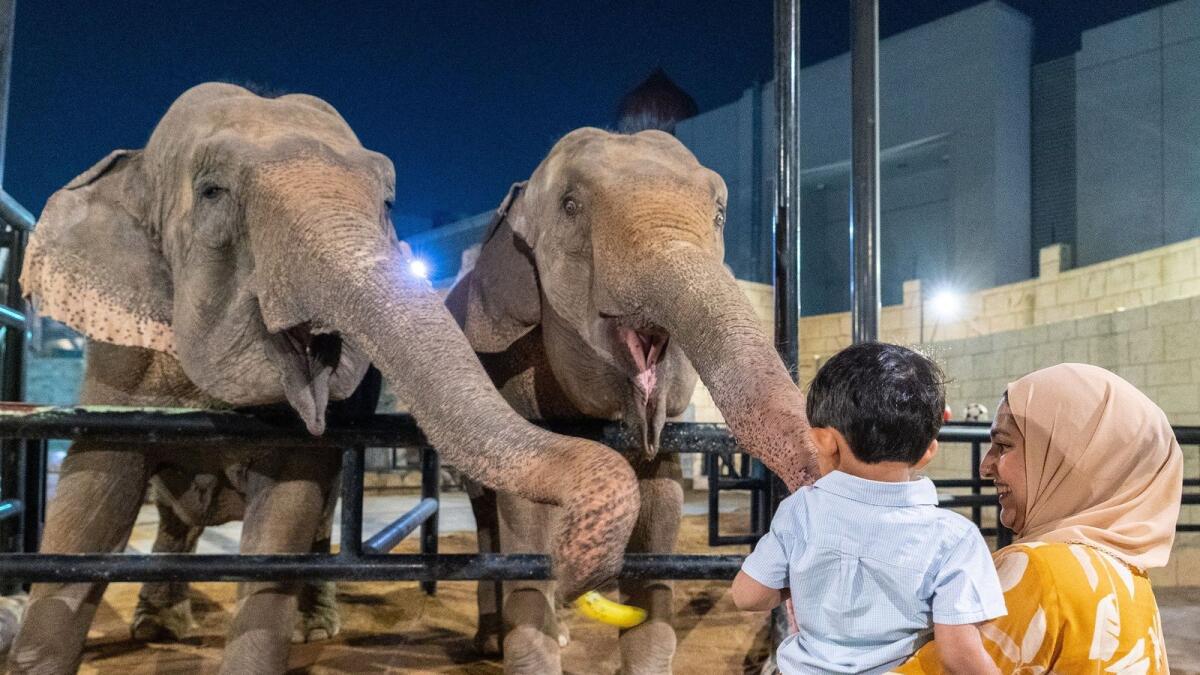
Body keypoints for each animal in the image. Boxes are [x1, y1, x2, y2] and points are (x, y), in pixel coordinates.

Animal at [6, 83, 642, 675]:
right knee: (174, 517)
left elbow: (287, 514)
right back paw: (157, 629)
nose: (571, 571)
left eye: (387, 200)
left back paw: (312, 628)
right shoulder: (117, 358)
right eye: (211, 192)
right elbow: (91, 502)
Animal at [446, 127, 821, 674]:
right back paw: (496, 640)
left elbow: (661, 499)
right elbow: (524, 512)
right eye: (571, 206)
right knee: (485, 511)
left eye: (719, 215)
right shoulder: (507, 357)